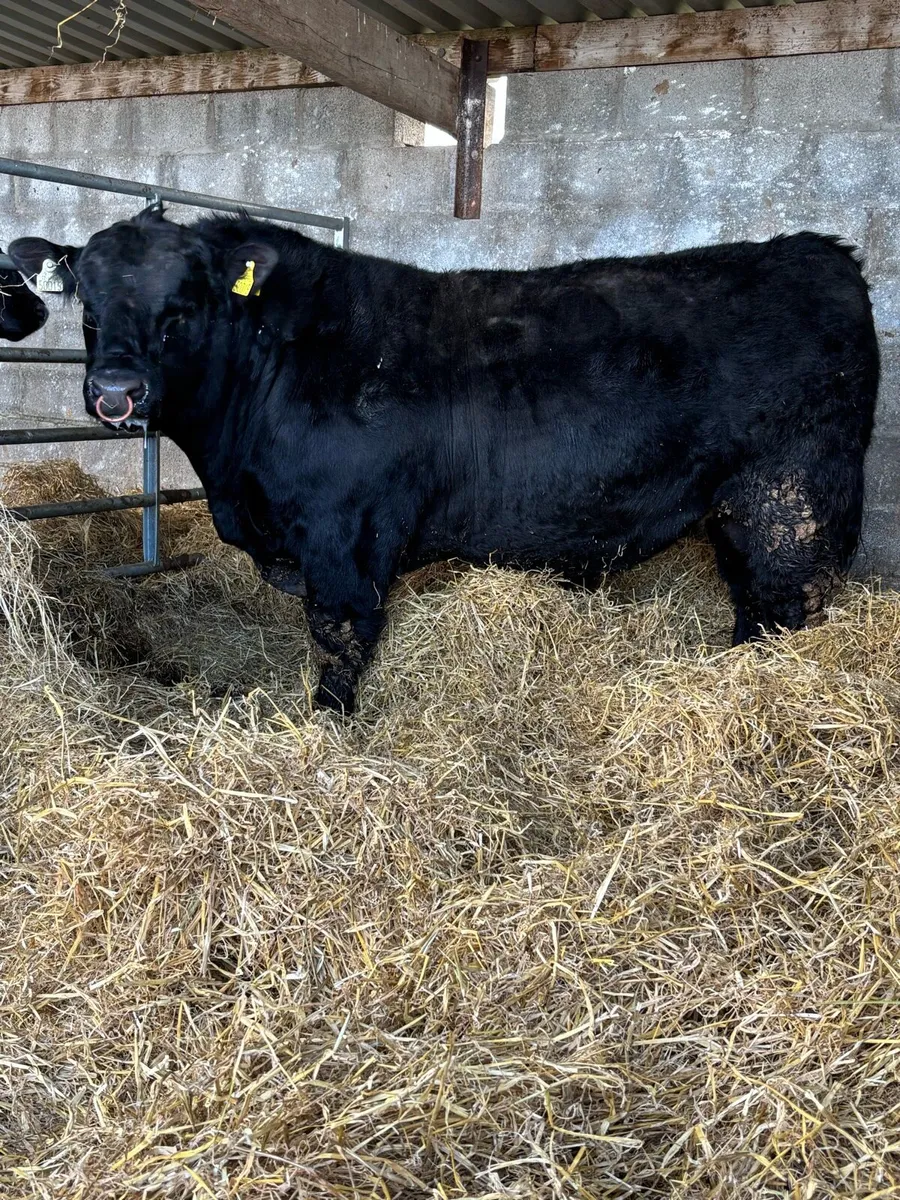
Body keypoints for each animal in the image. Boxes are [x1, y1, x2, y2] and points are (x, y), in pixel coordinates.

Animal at [8, 209, 879, 714]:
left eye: (184, 303)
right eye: (87, 301)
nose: (114, 392)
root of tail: (821, 252)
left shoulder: (345, 536)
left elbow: (340, 640)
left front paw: (328, 727)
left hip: (788, 503)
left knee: (781, 605)